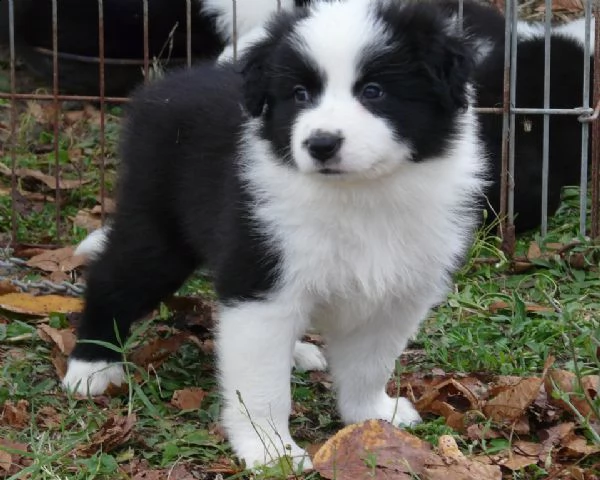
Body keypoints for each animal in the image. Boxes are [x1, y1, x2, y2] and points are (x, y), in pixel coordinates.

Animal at [64, 0, 488, 470]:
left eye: (374, 91)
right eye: (300, 95)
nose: (321, 144)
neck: (358, 196)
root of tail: (169, 86)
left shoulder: (396, 294)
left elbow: (370, 364)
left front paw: (372, 414)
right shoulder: (260, 279)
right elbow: (262, 387)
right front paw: (271, 451)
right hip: (159, 228)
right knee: (114, 279)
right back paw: (91, 366)